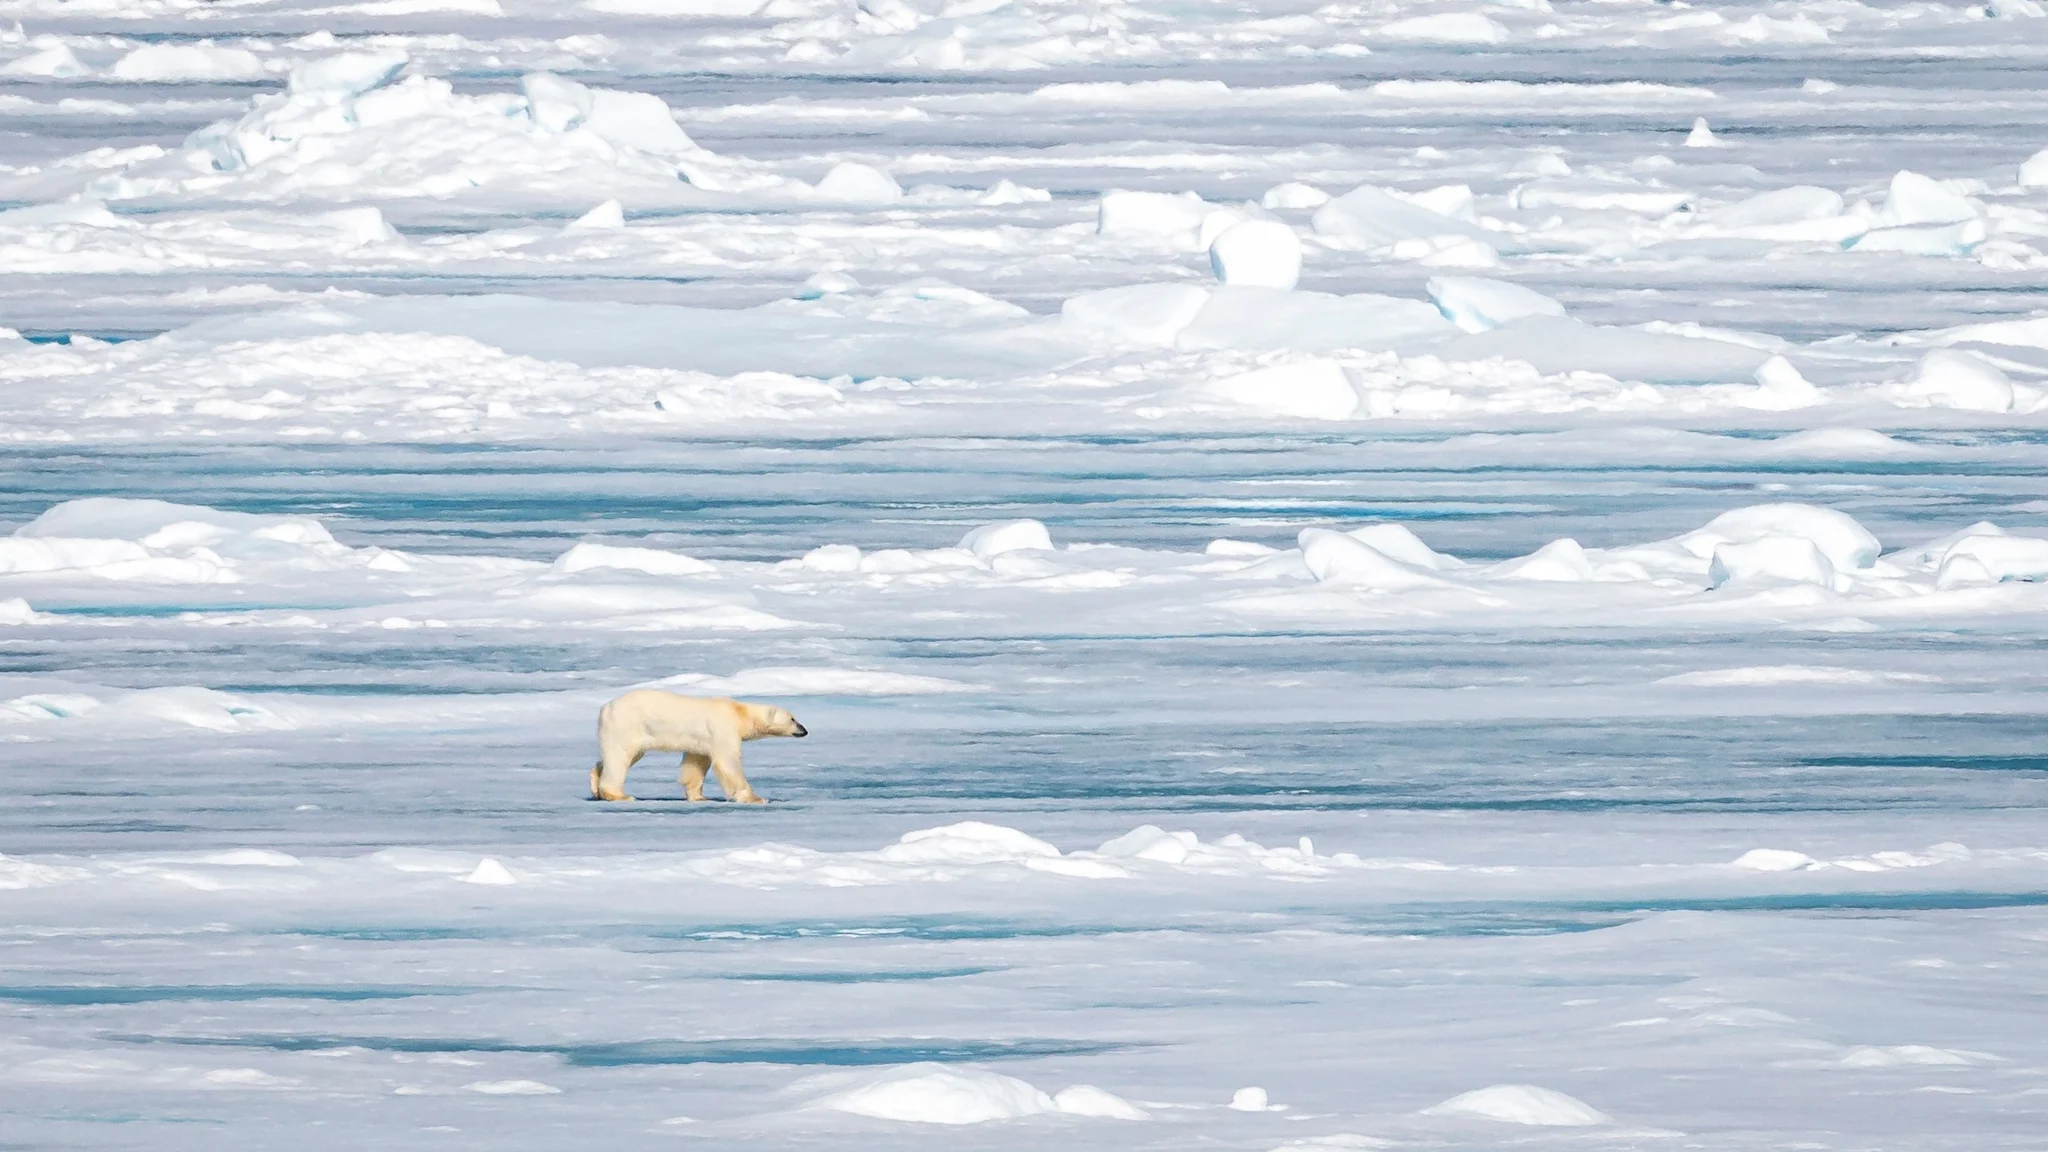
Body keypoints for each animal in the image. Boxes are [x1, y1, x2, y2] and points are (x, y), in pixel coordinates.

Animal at [590, 689, 807, 803]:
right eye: (793, 719)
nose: (804, 730)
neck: (739, 713)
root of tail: (605, 707)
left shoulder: (703, 741)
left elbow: (695, 763)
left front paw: (699, 797)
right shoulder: (723, 729)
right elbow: (729, 763)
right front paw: (756, 798)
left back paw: (596, 787)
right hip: (627, 726)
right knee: (620, 757)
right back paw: (619, 795)